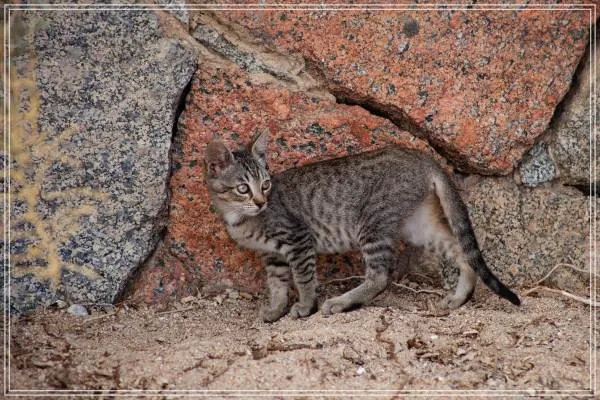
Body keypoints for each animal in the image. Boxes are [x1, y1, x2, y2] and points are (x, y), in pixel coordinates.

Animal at [204, 130, 520, 322]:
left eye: (266, 184)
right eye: (243, 188)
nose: (260, 202)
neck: (240, 218)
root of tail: (420, 156)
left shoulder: (298, 240)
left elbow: (304, 279)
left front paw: (305, 306)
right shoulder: (273, 255)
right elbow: (278, 284)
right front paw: (275, 309)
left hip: (372, 224)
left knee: (380, 277)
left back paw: (341, 302)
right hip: (419, 225)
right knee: (461, 251)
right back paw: (459, 297)